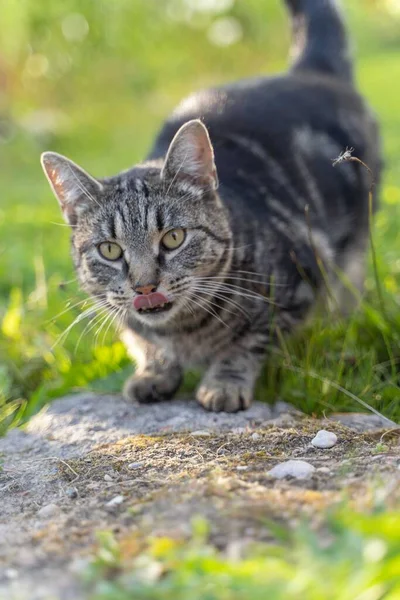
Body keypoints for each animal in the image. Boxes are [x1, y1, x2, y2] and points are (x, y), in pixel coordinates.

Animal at [40, 0, 382, 412]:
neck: (182, 331)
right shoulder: (127, 318)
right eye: (109, 250)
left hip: (354, 240)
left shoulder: (296, 282)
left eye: (173, 238)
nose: (144, 286)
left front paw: (224, 382)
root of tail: (306, 70)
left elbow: (248, 342)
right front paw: (154, 372)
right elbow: (142, 339)